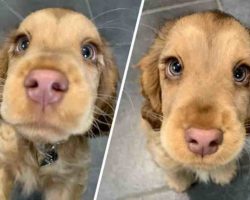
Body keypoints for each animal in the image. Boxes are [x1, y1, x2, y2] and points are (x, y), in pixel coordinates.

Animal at [139, 11, 250, 192]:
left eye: (240, 73)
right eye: (175, 66)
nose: (203, 140)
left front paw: (224, 173)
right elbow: (170, 164)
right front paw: (179, 182)